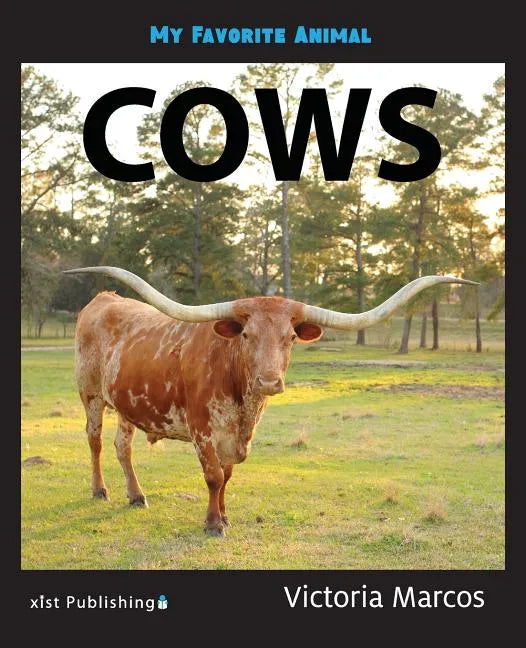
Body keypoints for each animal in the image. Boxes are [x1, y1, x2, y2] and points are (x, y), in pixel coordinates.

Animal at [64, 266, 476, 536]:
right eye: (246, 334)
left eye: (290, 338)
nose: (269, 380)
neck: (241, 398)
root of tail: (104, 299)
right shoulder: (202, 430)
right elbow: (213, 477)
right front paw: (213, 524)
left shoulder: (236, 437)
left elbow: (228, 477)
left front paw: (225, 516)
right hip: (90, 394)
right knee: (94, 441)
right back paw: (99, 490)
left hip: (127, 404)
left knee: (122, 446)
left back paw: (136, 495)